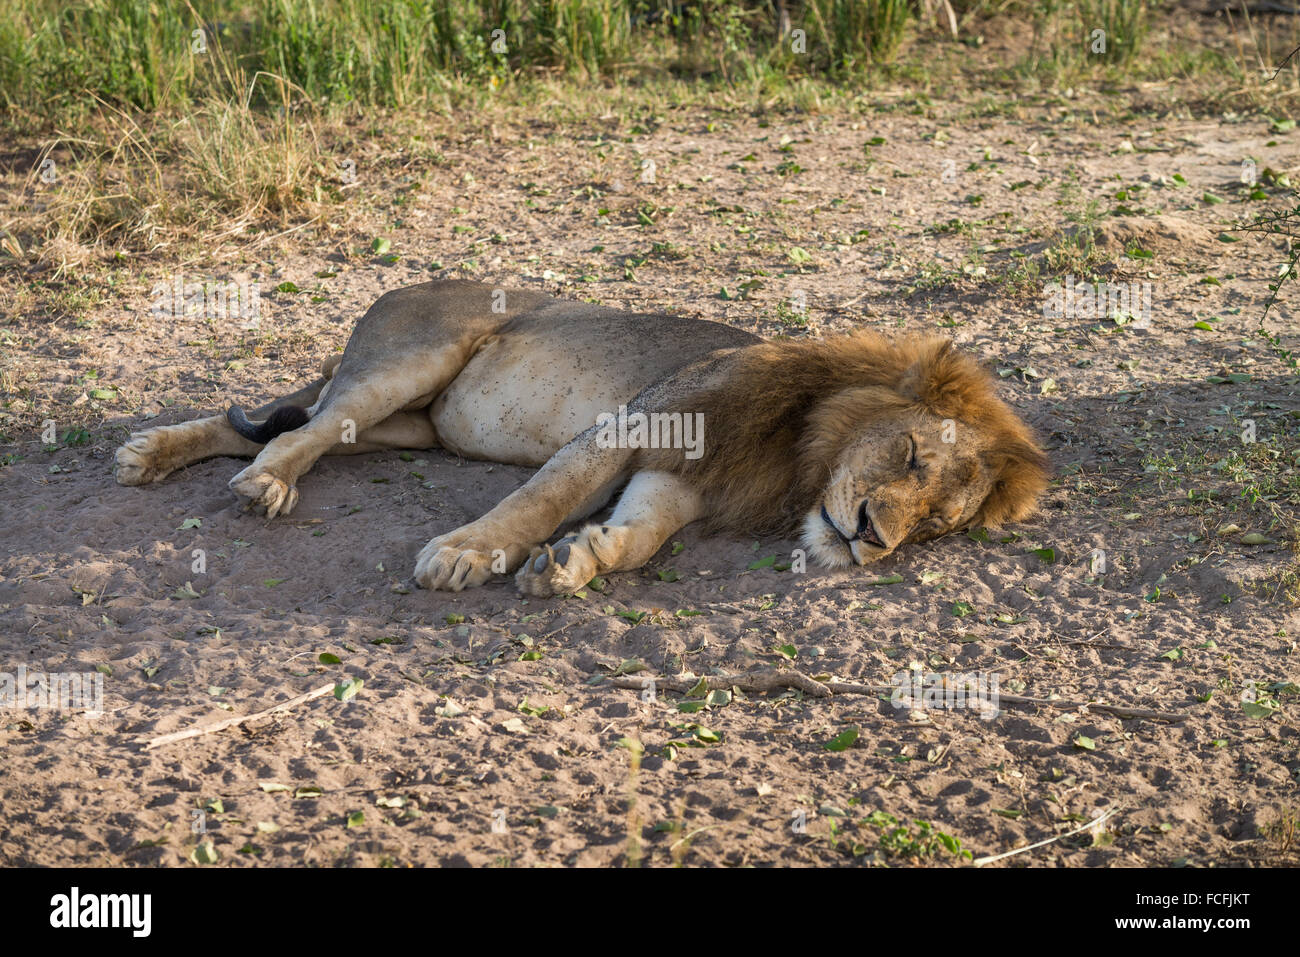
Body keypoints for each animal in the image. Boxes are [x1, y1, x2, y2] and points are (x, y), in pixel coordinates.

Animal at [111, 278, 1050, 590]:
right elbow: (540, 499)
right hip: (412, 361)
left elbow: (640, 536)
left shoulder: (681, 480)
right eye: (911, 453)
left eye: (937, 524)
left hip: (406, 428)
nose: (872, 540)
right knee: (294, 433)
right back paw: (260, 484)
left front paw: (577, 560)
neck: (799, 448)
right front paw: (464, 556)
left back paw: (153, 454)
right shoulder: (635, 421)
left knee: (279, 424)